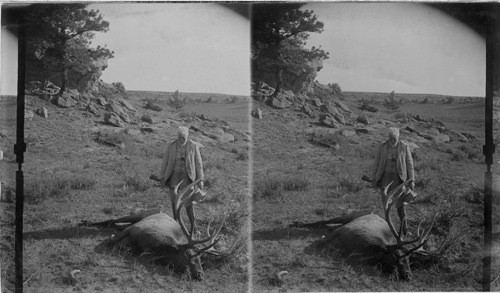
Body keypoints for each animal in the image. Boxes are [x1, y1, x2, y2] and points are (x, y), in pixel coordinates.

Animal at [80, 179, 223, 280]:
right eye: (190, 255)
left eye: (201, 259)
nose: (200, 275)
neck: (157, 247)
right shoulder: (134, 228)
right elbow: (112, 241)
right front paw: (112, 239)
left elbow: (127, 247)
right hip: (138, 215)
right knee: (112, 220)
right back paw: (85, 221)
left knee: (116, 225)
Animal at [298, 179, 436, 280]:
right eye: (397, 256)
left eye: (410, 259)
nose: (409, 275)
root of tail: (375, 213)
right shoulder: (340, 231)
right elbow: (319, 242)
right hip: (351, 215)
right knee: (324, 221)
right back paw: (298, 223)